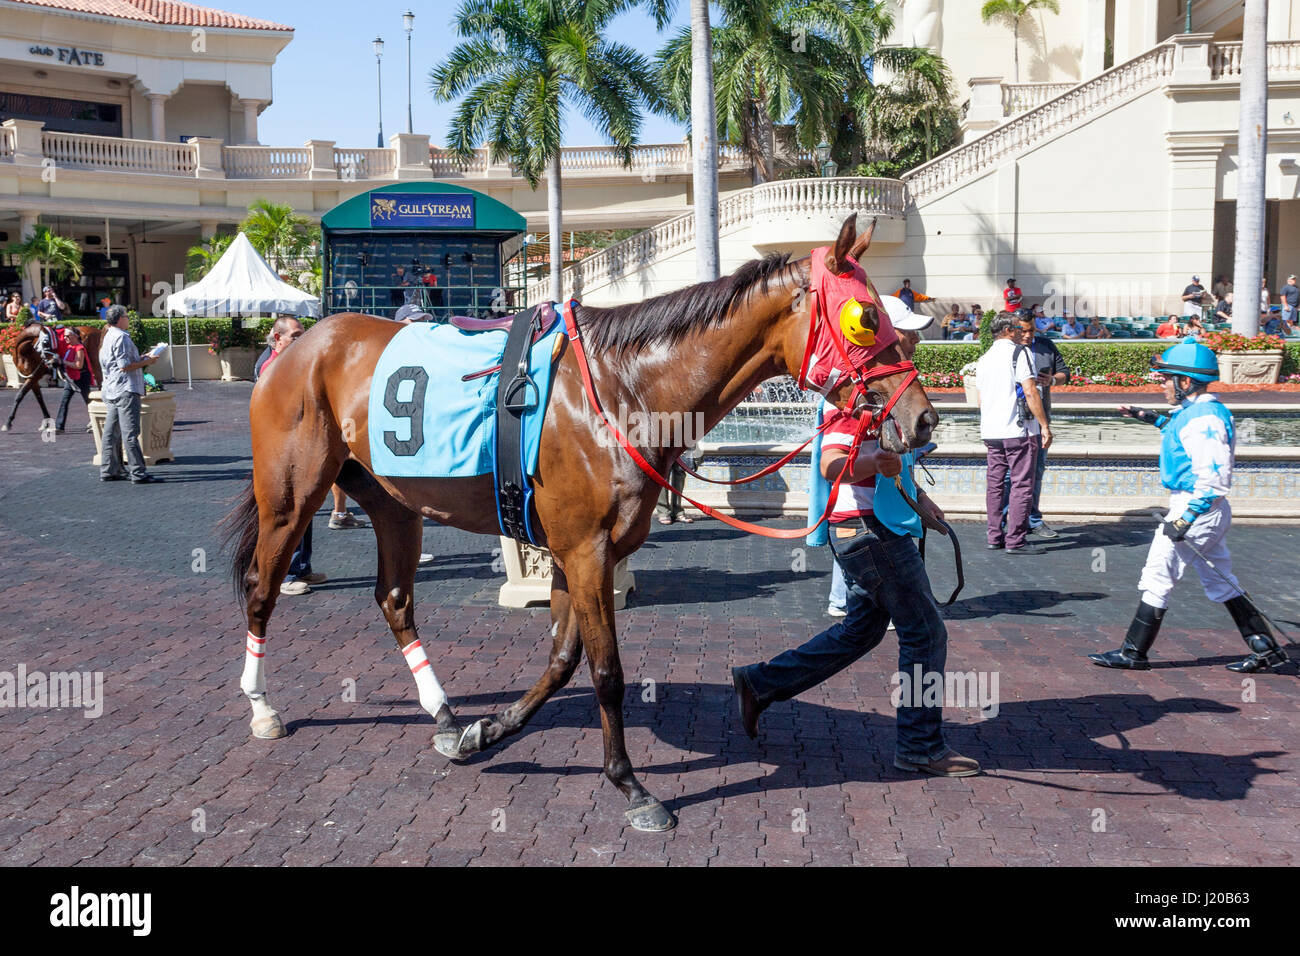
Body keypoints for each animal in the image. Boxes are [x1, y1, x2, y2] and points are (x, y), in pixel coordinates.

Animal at [223, 214, 935, 832]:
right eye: (867, 317)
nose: (923, 419)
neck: (626, 389)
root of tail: (298, 344)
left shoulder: (583, 552)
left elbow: (564, 658)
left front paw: (488, 730)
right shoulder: (586, 550)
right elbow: (607, 672)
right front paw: (632, 785)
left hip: (393, 500)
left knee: (395, 599)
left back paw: (445, 714)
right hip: (290, 498)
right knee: (261, 588)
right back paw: (261, 708)